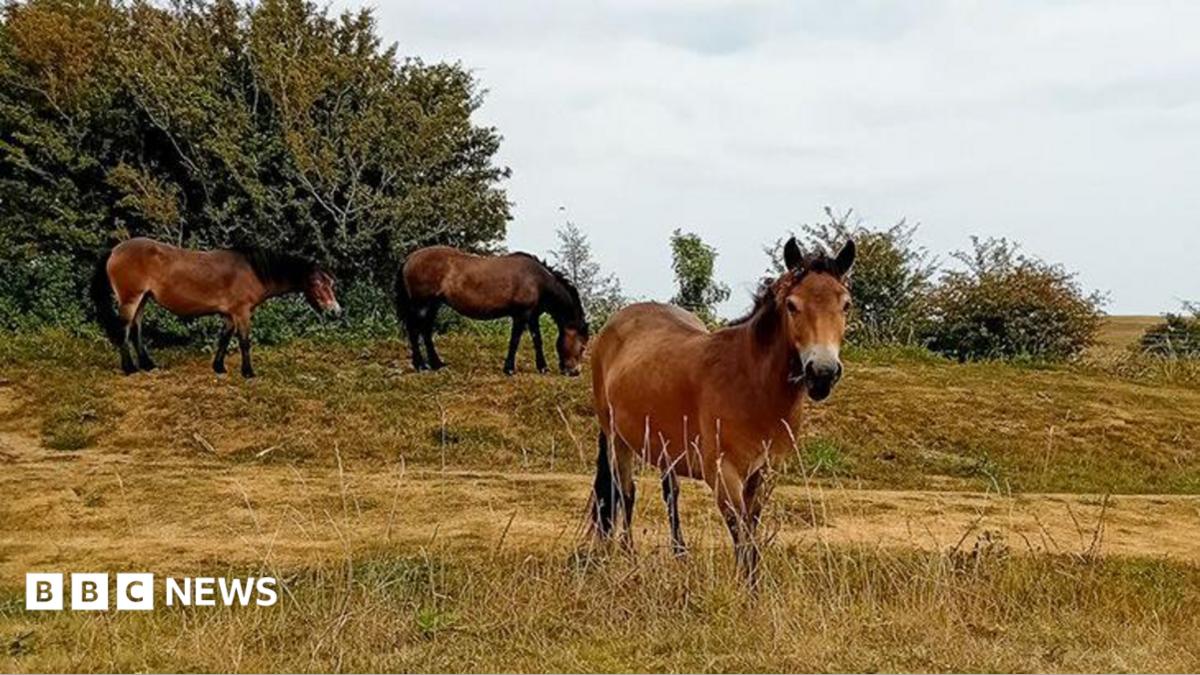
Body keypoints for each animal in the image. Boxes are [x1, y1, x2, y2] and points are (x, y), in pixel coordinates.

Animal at [90, 237, 342, 377]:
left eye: (330, 283)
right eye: (316, 283)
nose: (335, 311)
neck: (252, 270)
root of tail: (114, 250)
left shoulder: (230, 315)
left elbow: (224, 338)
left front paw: (219, 367)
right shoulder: (242, 312)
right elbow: (244, 342)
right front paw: (248, 372)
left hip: (143, 299)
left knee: (136, 329)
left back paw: (147, 364)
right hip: (131, 299)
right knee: (124, 329)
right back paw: (129, 368)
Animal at [395, 245, 589, 376]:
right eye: (583, 345)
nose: (575, 371)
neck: (537, 280)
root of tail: (409, 258)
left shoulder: (532, 315)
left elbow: (537, 340)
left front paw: (542, 367)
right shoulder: (521, 315)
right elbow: (515, 340)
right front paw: (509, 369)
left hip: (433, 305)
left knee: (426, 331)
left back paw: (436, 363)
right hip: (421, 305)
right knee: (414, 331)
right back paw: (421, 365)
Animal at [587, 236, 855, 584]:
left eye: (845, 304)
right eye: (792, 306)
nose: (822, 373)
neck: (751, 382)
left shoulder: (762, 473)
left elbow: (751, 531)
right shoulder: (724, 475)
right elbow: (741, 535)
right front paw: (747, 589)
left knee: (670, 493)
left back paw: (680, 556)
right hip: (617, 438)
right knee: (625, 493)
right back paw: (627, 556)